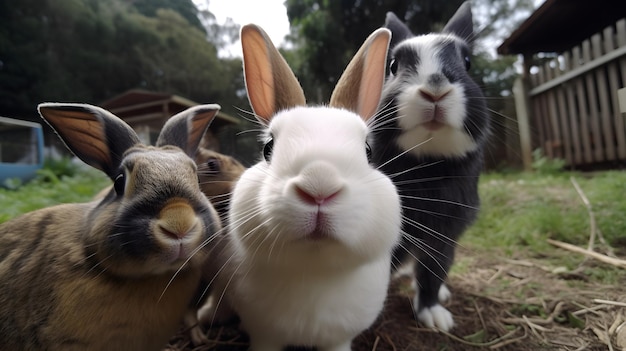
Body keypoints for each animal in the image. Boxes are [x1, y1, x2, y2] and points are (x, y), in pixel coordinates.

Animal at [370, 2, 488, 332]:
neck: (427, 163)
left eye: (467, 62)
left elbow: (434, 271)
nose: (435, 89)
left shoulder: (445, 232)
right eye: (394, 65)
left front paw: (435, 316)